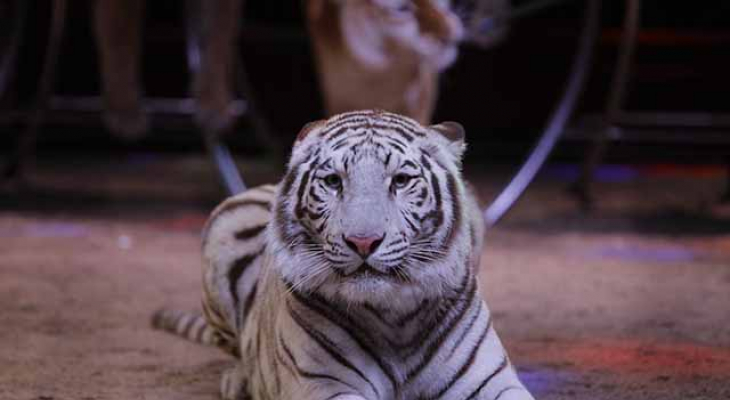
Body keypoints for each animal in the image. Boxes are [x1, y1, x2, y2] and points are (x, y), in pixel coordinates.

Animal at [154, 110, 532, 400]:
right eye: (334, 182)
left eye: (401, 180)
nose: (363, 242)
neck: (396, 318)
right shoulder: (324, 385)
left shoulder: (491, 380)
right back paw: (239, 380)